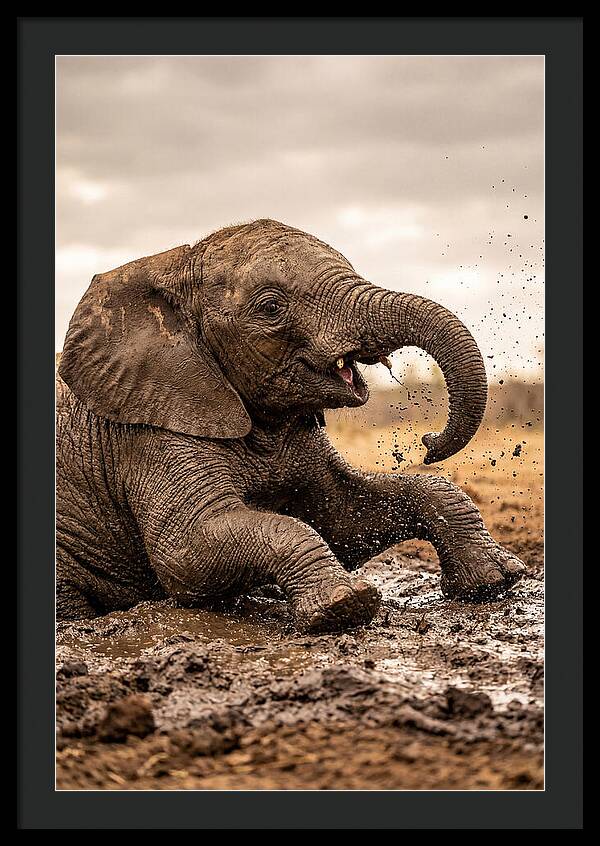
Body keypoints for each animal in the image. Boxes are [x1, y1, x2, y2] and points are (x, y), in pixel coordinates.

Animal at [56, 219, 525, 631]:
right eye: (270, 308)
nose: (428, 443)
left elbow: (344, 518)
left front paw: (496, 580)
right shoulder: (151, 432)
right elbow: (186, 553)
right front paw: (344, 605)